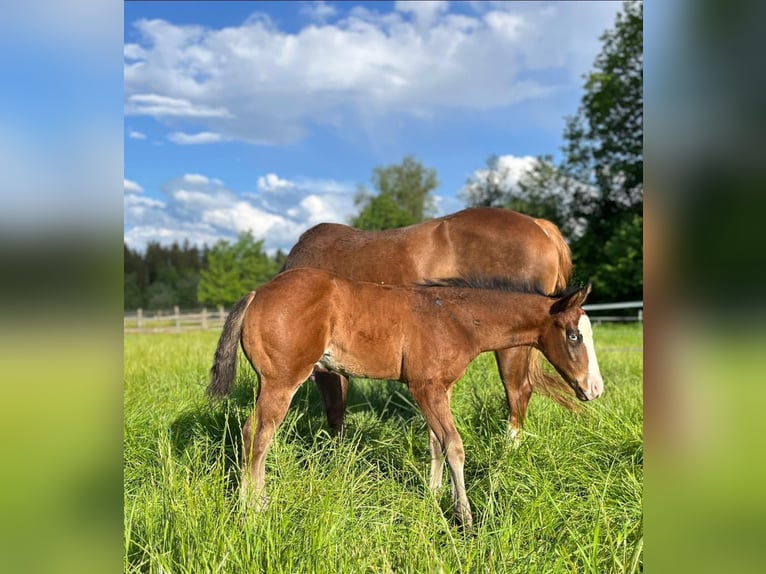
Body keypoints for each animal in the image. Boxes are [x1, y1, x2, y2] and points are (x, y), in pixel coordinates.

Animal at [208, 268, 604, 527]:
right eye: (573, 336)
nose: (595, 389)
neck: (455, 318)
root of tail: (258, 293)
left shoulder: (438, 389)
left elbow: (436, 444)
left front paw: (433, 497)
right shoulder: (425, 387)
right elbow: (455, 445)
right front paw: (465, 518)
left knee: (254, 434)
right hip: (281, 381)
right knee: (257, 435)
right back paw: (254, 509)